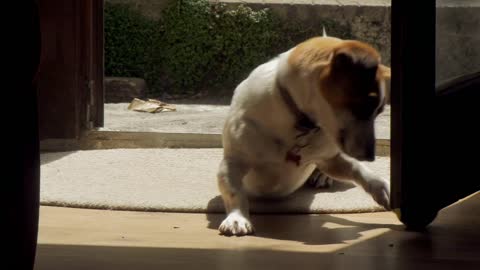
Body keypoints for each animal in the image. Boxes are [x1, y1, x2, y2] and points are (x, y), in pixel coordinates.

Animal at [216, 34, 392, 236]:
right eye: (364, 107)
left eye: (379, 111)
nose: (371, 156)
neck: (301, 124)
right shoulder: (232, 164)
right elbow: (234, 192)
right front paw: (237, 218)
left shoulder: (328, 159)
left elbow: (358, 169)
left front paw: (383, 187)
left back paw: (322, 176)